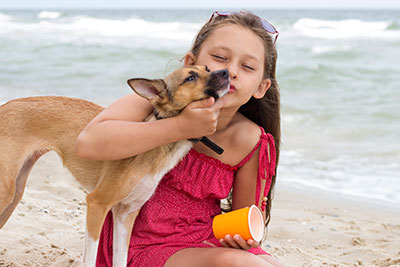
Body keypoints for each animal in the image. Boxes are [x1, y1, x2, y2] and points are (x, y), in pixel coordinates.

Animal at [0, 65, 230, 267]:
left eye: (207, 68)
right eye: (190, 77)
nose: (227, 72)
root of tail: (4, 106)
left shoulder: (125, 214)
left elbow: (121, 260)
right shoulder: (97, 204)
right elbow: (89, 259)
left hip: (15, 194)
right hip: (6, 192)